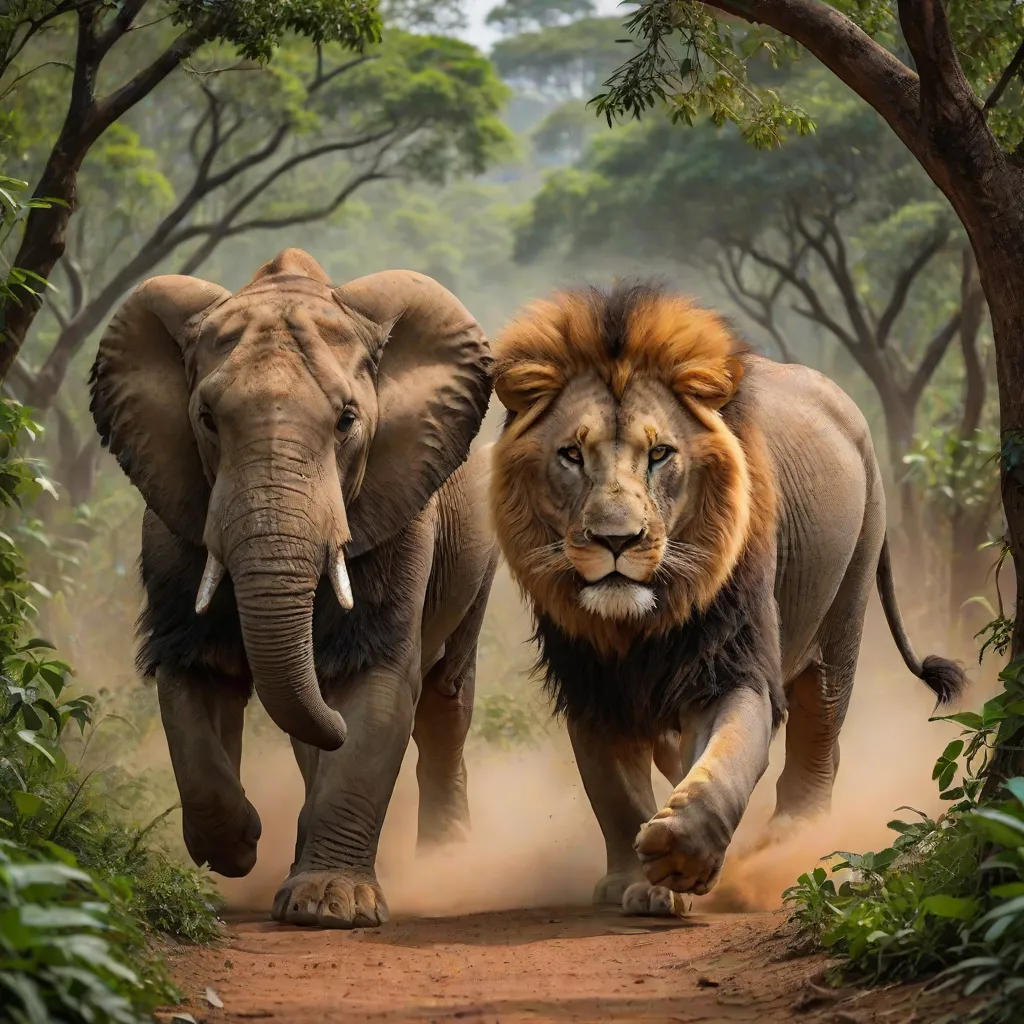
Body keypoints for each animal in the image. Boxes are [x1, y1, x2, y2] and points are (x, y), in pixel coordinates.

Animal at [90, 248, 496, 928]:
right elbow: (194, 674)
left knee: (443, 703)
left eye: (348, 420)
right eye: (206, 420)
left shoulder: (403, 524)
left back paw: (447, 865)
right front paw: (237, 845)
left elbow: (379, 683)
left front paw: (330, 909)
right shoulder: (172, 524)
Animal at [491, 282, 965, 915]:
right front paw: (632, 881)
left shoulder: (731, 664)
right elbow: (613, 790)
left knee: (818, 742)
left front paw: (676, 858)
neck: (639, 624)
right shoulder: (590, 681)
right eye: (571, 454)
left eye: (660, 454)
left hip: (847, 602)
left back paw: (794, 847)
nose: (617, 540)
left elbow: (728, 760)